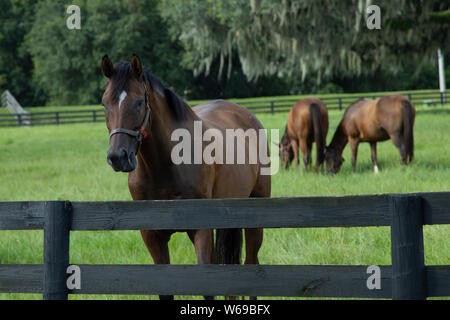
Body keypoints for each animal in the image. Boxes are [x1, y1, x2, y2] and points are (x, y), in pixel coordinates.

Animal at [101, 54, 270, 300]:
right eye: (105, 103)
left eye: (139, 102)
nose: (117, 157)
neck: (165, 166)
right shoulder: (152, 235)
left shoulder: (200, 230)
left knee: (251, 263)